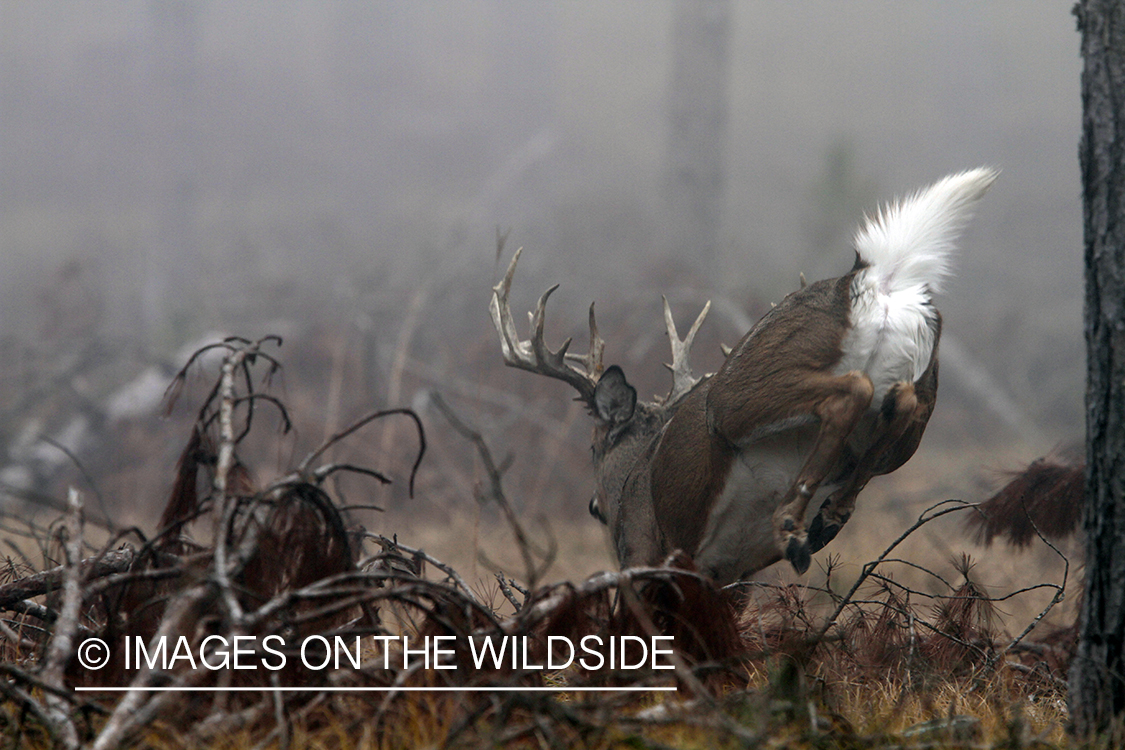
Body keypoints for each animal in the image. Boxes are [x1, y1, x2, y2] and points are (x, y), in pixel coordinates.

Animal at [491, 168, 998, 584]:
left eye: (593, 447)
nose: (594, 506)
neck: (632, 480)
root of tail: (876, 279)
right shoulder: (731, 576)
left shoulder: (645, 550)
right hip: (915, 409)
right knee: (900, 406)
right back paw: (825, 518)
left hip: (739, 396)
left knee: (850, 391)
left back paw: (793, 525)